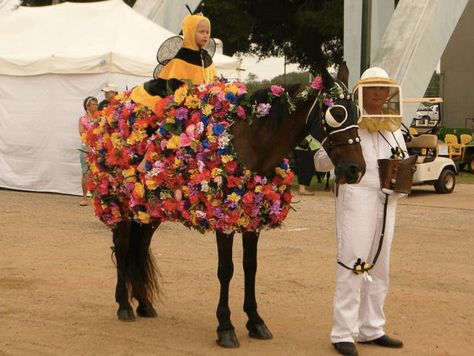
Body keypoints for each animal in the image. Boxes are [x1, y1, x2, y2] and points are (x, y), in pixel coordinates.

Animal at [84, 64, 366, 348]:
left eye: (358, 112)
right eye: (337, 113)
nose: (356, 170)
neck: (251, 143)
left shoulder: (252, 221)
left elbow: (250, 267)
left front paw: (255, 321)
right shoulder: (224, 223)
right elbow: (226, 270)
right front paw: (225, 327)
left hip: (148, 212)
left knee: (139, 248)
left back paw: (143, 304)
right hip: (121, 207)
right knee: (122, 249)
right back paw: (124, 305)